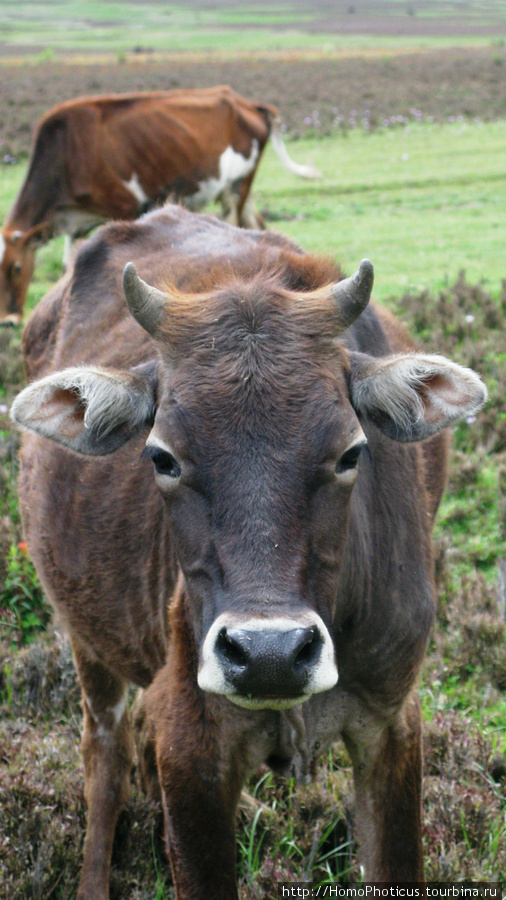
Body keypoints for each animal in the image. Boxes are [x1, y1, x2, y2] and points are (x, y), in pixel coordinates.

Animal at [0, 86, 320, 326]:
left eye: (17, 268)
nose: (8, 322)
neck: (66, 153)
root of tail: (248, 103)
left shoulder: (124, 206)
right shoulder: (77, 225)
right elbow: (68, 266)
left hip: (236, 187)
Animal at [11, 207, 486, 896]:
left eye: (350, 451)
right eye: (162, 457)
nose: (270, 654)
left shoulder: (393, 724)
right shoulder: (193, 748)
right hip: (87, 638)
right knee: (104, 755)